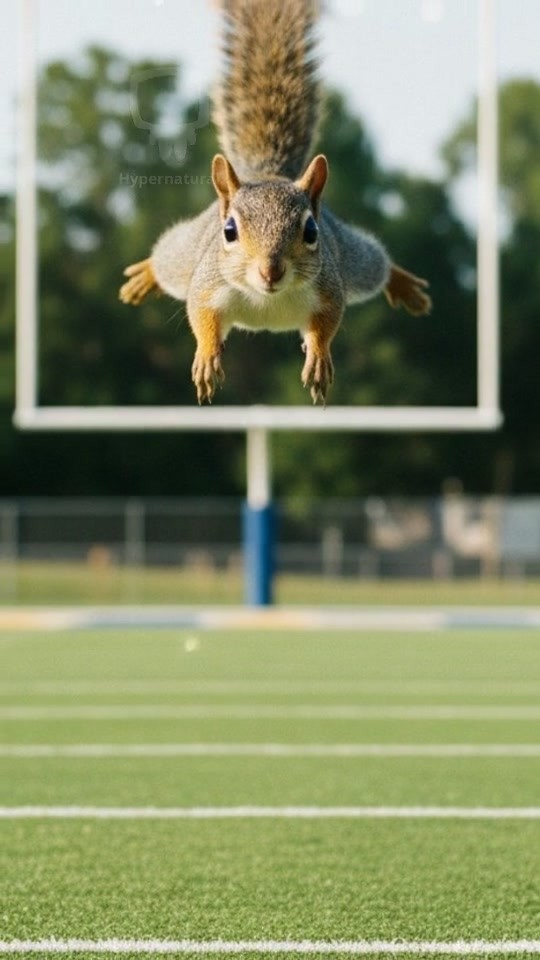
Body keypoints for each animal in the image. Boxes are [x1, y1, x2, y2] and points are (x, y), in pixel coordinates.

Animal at [119, 0, 432, 404]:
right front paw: (206, 359)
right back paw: (144, 277)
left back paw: (405, 285)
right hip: (185, 256)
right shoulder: (208, 285)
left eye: (311, 231)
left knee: (375, 263)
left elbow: (326, 325)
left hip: (354, 262)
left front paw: (318, 360)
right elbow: (201, 316)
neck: (265, 298)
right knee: (167, 259)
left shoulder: (329, 289)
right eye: (229, 231)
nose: (271, 271)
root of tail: (267, 173)